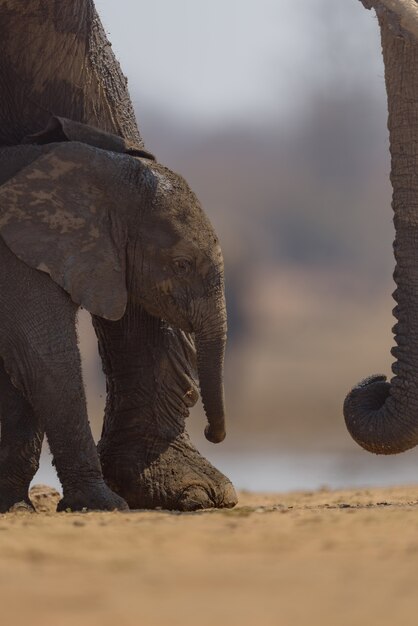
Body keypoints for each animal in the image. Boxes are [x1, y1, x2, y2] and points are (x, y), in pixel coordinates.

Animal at [0, 0, 237, 508]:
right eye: (182, 265)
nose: (215, 433)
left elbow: (18, 369)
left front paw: (13, 505)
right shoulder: (16, 256)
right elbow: (44, 358)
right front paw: (101, 504)